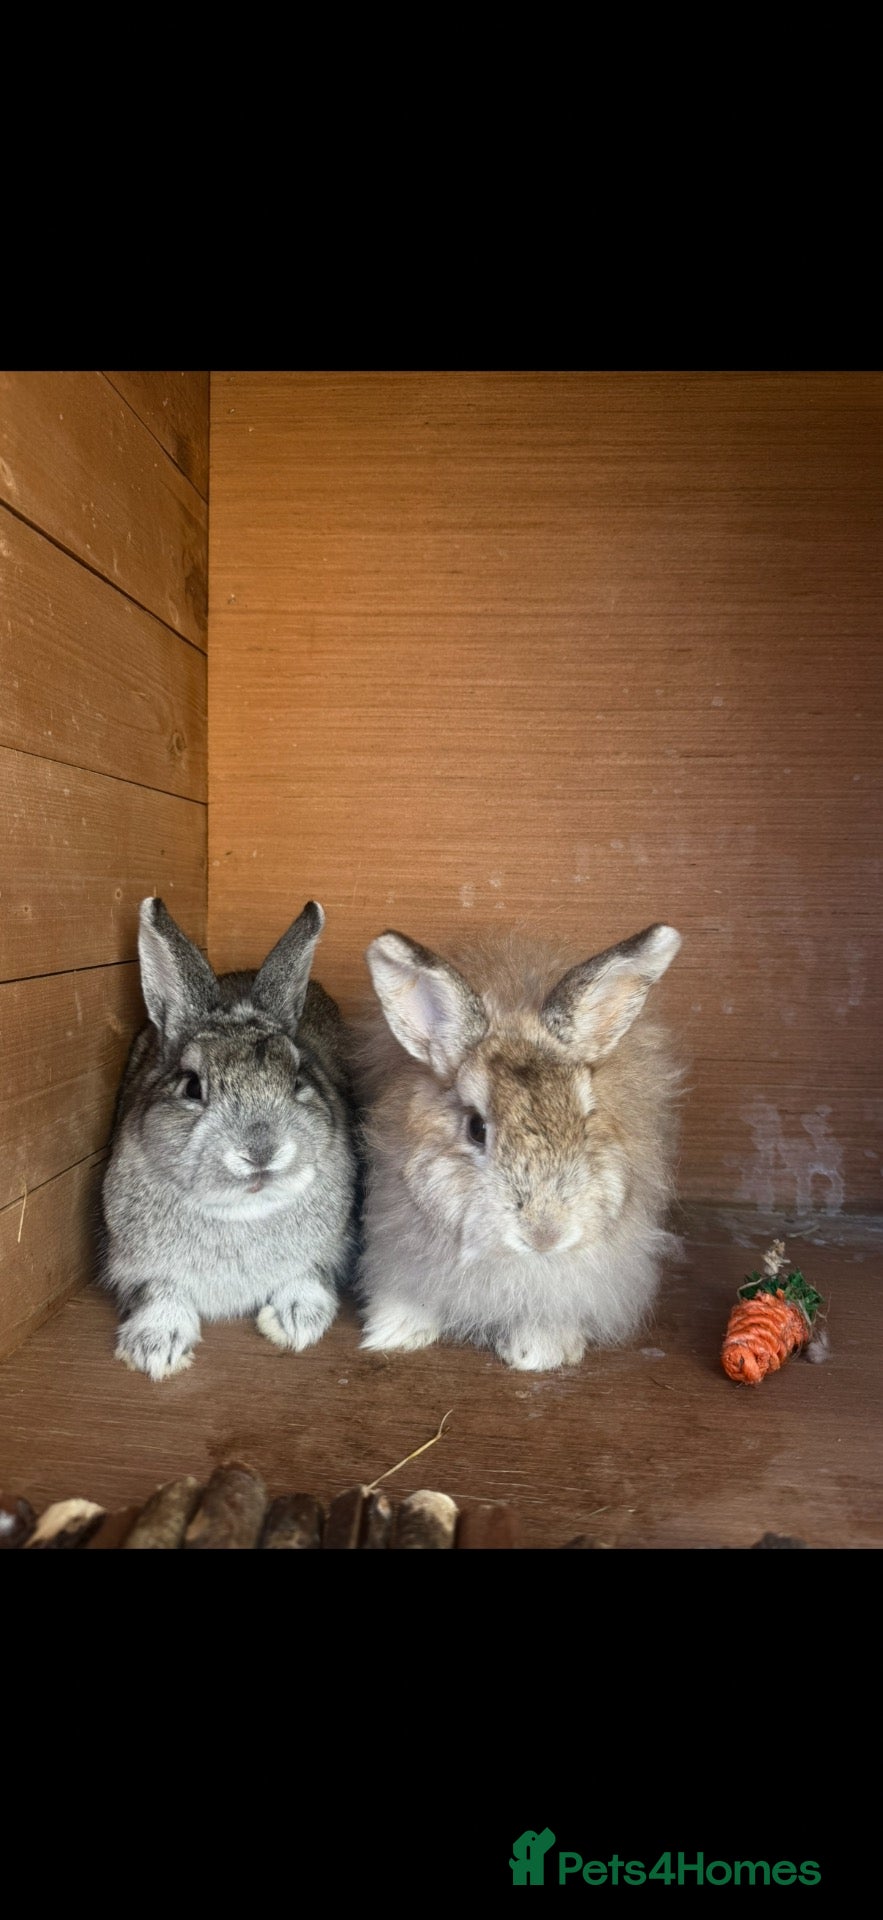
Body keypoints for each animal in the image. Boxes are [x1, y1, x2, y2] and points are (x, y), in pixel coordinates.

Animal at [98, 897, 358, 1380]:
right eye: (191, 1087)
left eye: (298, 1079)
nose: (261, 1151)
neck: (242, 1212)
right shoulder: (134, 1264)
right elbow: (158, 1292)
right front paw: (156, 1348)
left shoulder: (332, 1249)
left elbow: (309, 1276)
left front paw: (296, 1322)